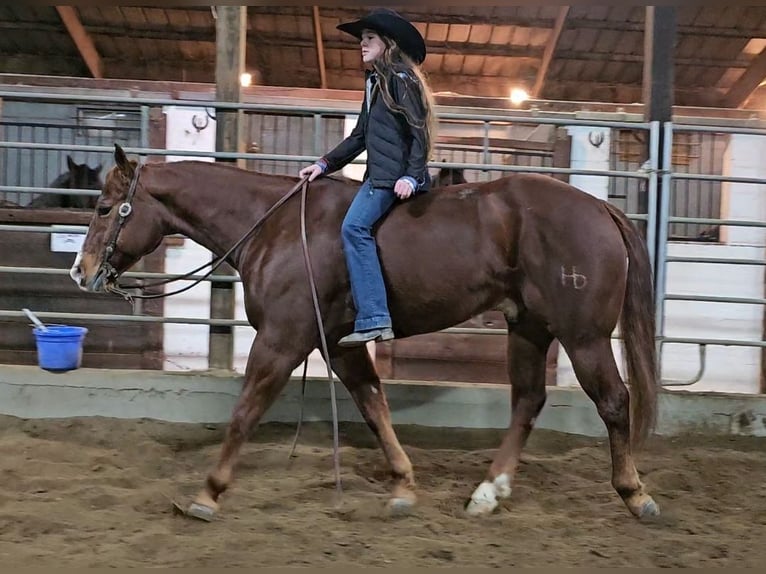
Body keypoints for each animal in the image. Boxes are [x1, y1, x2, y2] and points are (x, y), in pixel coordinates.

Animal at [69, 146, 664, 524]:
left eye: (104, 207)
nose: (81, 270)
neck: (276, 227)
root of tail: (600, 208)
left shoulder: (281, 341)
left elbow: (244, 414)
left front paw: (208, 494)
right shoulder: (336, 345)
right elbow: (374, 407)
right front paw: (402, 486)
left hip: (584, 338)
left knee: (614, 402)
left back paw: (636, 495)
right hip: (528, 328)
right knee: (528, 402)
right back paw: (487, 493)